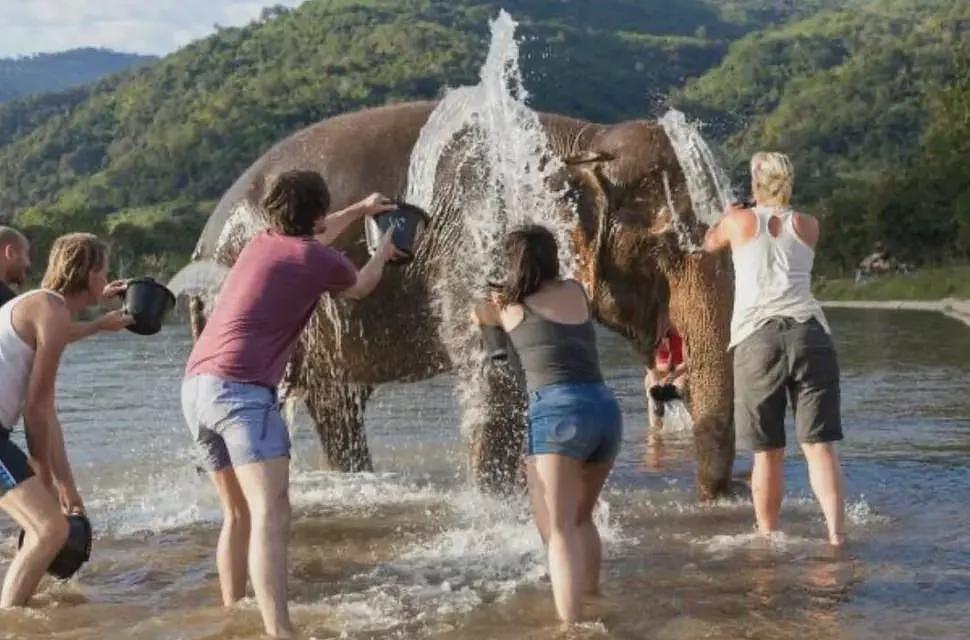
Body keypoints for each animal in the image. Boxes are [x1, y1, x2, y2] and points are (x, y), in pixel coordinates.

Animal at [183, 100, 732, 500]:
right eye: (664, 248)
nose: (711, 498)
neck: (580, 137)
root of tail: (200, 246)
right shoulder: (479, 233)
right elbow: (495, 372)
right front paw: (499, 503)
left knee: (336, 404)